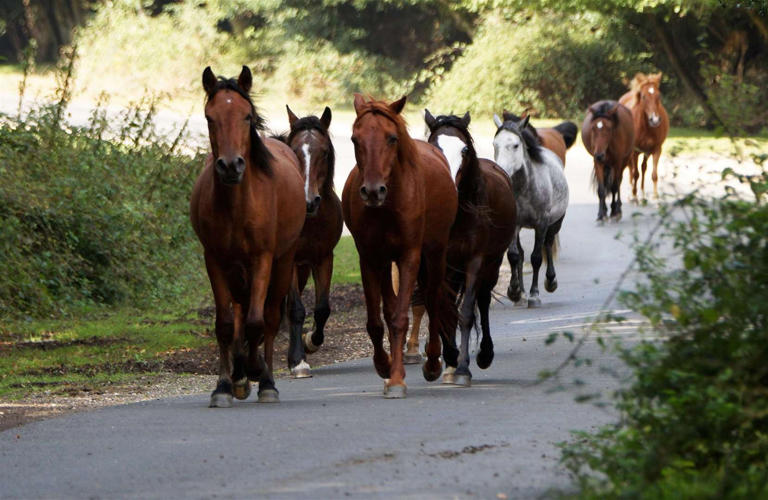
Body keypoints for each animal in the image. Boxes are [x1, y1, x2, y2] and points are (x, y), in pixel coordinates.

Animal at [190, 66, 305, 407]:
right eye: (210, 117)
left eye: (245, 116)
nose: (230, 166)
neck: (236, 206)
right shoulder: (215, 260)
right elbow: (226, 325)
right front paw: (223, 386)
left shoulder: (262, 259)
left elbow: (258, 322)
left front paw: (258, 371)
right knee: (241, 313)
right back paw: (240, 374)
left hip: (282, 264)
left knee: (268, 317)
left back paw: (265, 380)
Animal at [342, 94, 458, 398]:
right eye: (355, 139)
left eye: (391, 138)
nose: (372, 191)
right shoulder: (370, 258)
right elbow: (377, 319)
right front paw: (385, 367)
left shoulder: (409, 257)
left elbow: (400, 318)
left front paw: (396, 379)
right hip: (385, 263)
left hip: (436, 253)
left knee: (432, 300)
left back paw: (432, 362)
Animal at [424, 109, 517, 386]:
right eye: (434, 147)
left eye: (464, 149)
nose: (450, 190)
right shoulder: (441, 262)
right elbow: (444, 308)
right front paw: (450, 358)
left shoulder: (475, 261)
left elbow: (465, 312)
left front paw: (463, 367)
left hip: (492, 264)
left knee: (483, 300)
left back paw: (484, 354)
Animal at [493, 114, 569, 308]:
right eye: (495, 144)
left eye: (515, 145)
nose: (501, 171)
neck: (525, 188)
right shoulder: (515, 224)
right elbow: (514, 256)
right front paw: (513, 291)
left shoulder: (541, 224)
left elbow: (536, 257)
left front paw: (535, 295)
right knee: (520, 254)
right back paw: (521, 293)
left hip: (555, 223)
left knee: (548, 245)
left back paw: (550, 281)